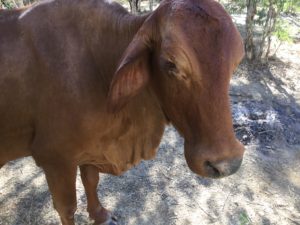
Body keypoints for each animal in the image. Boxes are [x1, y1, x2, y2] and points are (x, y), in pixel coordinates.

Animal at [0, 0, 244, 224]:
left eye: (235, 63)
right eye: (171, 64)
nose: (227, 164)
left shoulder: (91, 148)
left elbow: (91, 179)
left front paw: (99, 214)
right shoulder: (55, 158)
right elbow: (67, 208)